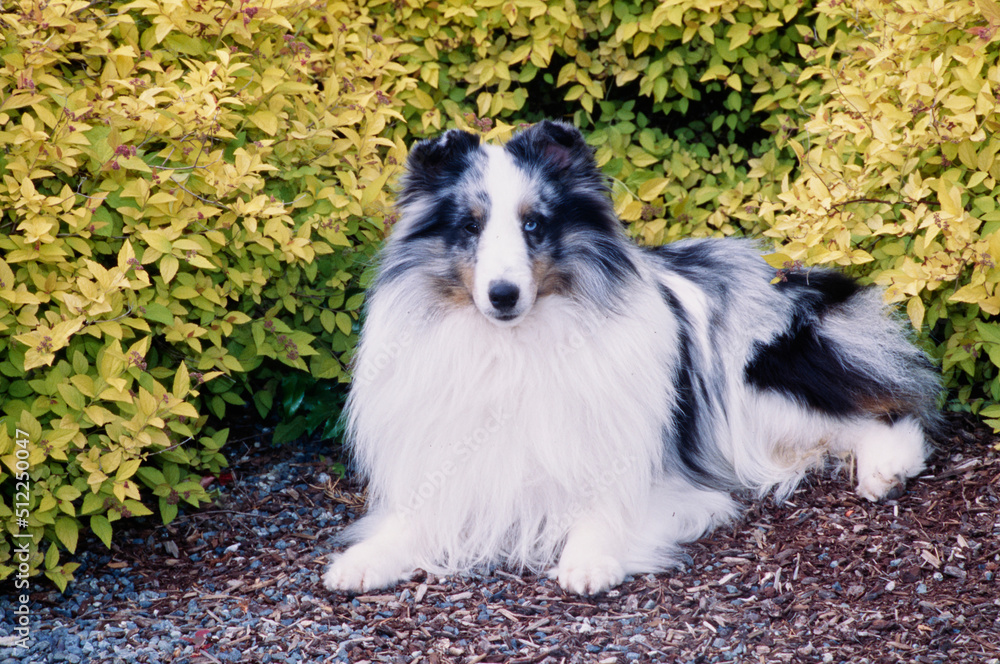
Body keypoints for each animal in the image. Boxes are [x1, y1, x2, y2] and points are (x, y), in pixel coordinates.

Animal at [324, 120, 940, 596]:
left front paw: (588, 560)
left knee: (883, 415)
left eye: (533, 224)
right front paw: (362, 562)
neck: (515, 344)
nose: (502, 295)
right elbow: (412, 523)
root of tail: (783, 282)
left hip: (759, 395)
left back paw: (885, 471)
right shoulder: (450, 469)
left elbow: (605, 510)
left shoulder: (630, 464)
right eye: (470, 226)